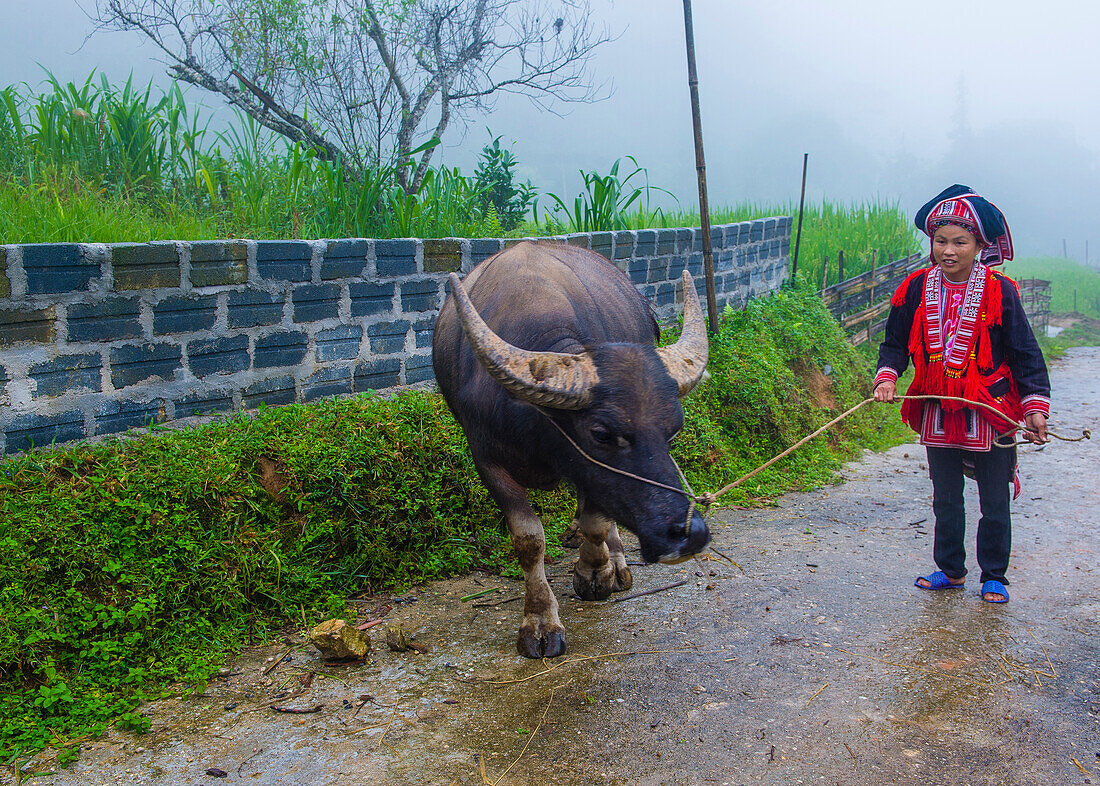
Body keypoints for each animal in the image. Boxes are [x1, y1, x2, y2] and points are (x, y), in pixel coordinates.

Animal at [433, 241, 708, 659]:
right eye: (601, 433)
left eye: (673, 430)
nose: (689, 533)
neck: (536, 423)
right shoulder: (488, 461)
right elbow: (528, 538)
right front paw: (540, 621)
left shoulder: (590, 474)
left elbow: (596, 522)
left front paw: (595, 572)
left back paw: (617, 563)